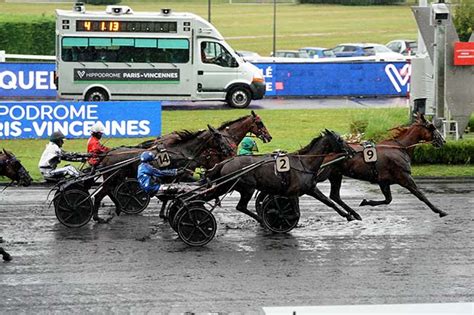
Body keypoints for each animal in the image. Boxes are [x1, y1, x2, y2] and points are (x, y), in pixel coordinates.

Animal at [91, 124, 235, 223]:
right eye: (218, 136)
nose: (230, 150)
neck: (182, 152)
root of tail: (106, 156)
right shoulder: (180, 175)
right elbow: (171, 193)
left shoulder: (172, 178)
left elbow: (168, 196)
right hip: (112, 178)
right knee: (99, 196)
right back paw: (98, 217)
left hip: (114, 179)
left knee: (108, 192)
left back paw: (117, 209)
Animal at [206, 131, 358, 225]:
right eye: (340, 140)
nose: (353, 151)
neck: (304, 163)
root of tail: (226, 162)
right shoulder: (292, 193)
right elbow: (295, 213)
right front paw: (276, 214)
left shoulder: (311, 189)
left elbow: (329, 202)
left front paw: (349, 215)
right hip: (247, 188)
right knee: (241, 206)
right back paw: (261, 220)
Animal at [318, 113, 448, 220]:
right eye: (432, 127)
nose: (443, 141)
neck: (400, 148)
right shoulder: (404, 177)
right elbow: (420, 195)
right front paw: (440, 211)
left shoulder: (384, 181)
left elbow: (388, 200)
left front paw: (365, 202)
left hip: (336, 175)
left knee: (335, 195)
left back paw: (354, 214)